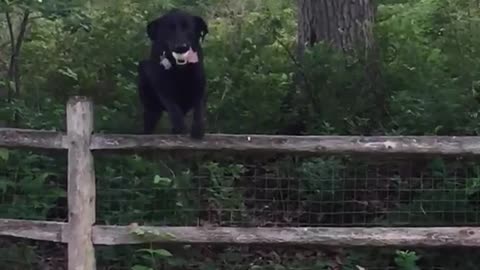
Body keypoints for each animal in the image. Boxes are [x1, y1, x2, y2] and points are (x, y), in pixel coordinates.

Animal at [137, 8, 208, 139]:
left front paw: (198, 129)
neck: (179, 70)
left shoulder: (199, 86)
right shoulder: (163, 88)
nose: (181, 47)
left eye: (188, 28)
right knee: (150, 118)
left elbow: (199, 108)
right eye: (169, 29)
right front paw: (180, 128)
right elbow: (173, 108)